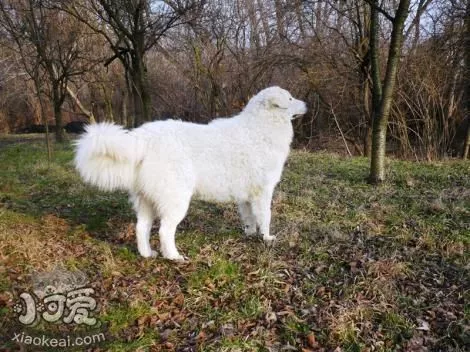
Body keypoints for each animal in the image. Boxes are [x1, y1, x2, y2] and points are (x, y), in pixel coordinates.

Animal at [75, 86, 306, 260]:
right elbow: (265, 217)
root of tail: (143, 138)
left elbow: (249, 218)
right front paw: (267, 238)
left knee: (141, 228)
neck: (262, 127)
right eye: (290, 98)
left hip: (147, 199)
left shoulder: (246, 196)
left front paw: (250, 235)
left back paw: (147, 254)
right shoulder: (263, 192)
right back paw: (174, 257)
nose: (307, 104)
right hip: (176, 199)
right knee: (164, 231)